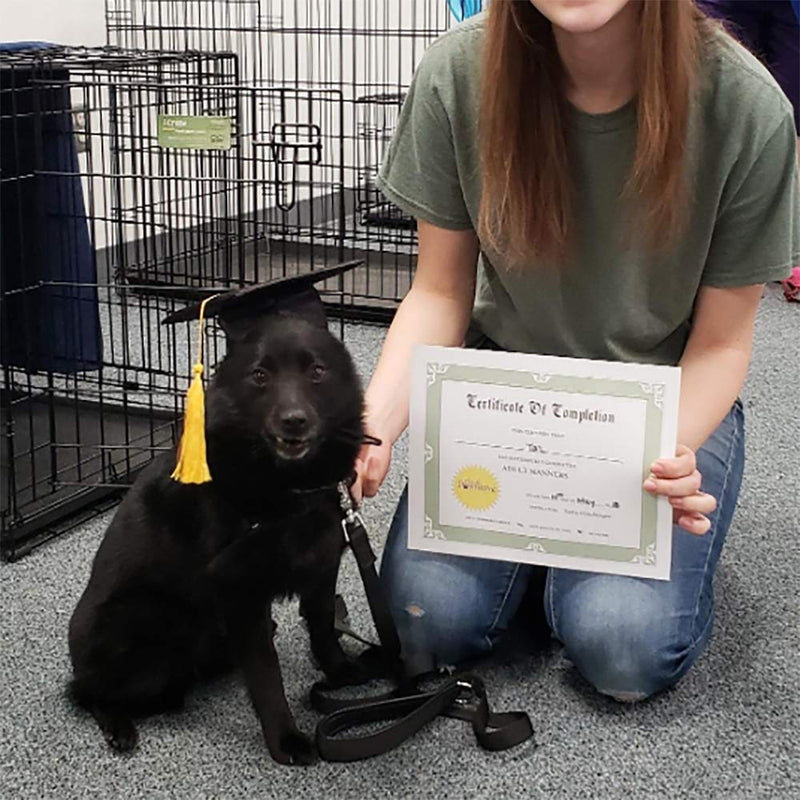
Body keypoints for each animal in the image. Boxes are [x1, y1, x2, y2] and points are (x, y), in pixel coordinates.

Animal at [69, 290, 368, 764]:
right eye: (260, 375)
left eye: (316, 371)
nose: (294, 420)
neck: (289, 486)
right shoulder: (239, 587)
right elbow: (265, 673)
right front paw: (285, 738)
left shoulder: (322, 565)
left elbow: (323, 628)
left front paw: (339, 673)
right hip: (157, 625)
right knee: (93, 693)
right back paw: (117, 724)